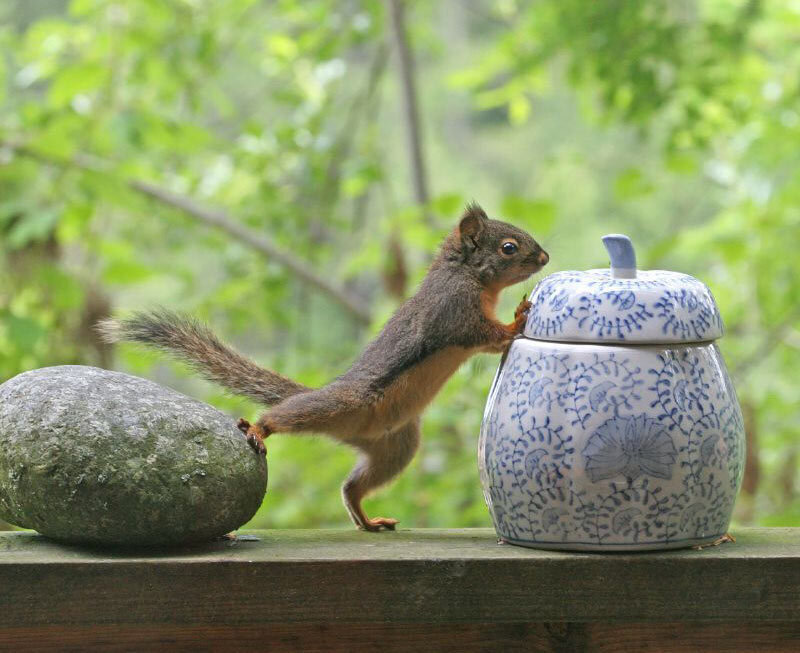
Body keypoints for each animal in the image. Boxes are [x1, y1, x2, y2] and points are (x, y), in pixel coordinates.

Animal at [99, 203, 548, 531]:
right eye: (509, 247)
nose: (544, 257)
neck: (467, 274)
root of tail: (353, 427)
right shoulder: (454, 311)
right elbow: (485, 333)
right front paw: (518, 318)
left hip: (396, 447)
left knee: (351, 487)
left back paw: (367, 519)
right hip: (340, 404)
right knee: (285, 416)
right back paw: (259, 429)